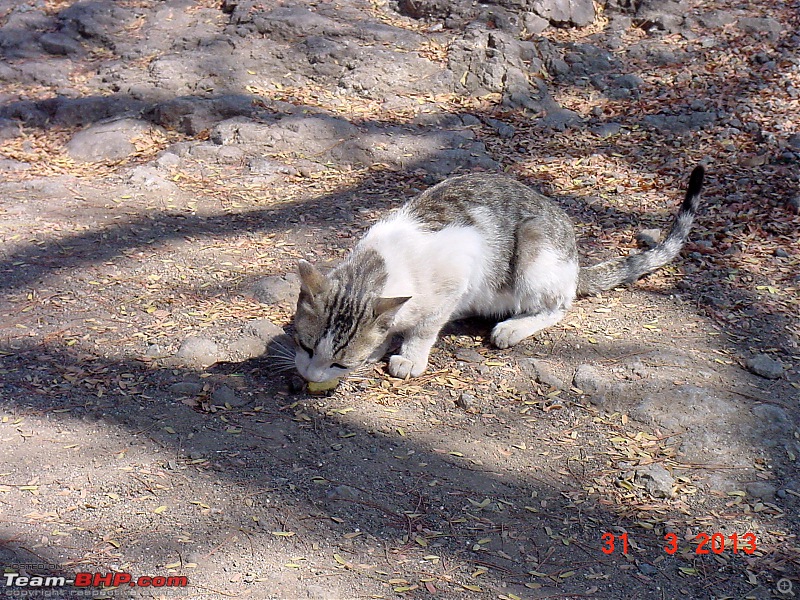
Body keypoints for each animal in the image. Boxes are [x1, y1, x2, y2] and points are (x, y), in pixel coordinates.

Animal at [290, 165, 704, 380]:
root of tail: (574, 263)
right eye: (305, 346)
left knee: (559, 305)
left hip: (535, 248)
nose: (310, 378)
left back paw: (513, 326)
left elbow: (425, 328)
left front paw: (410, 356)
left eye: (340, 363)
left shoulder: (457, 274)